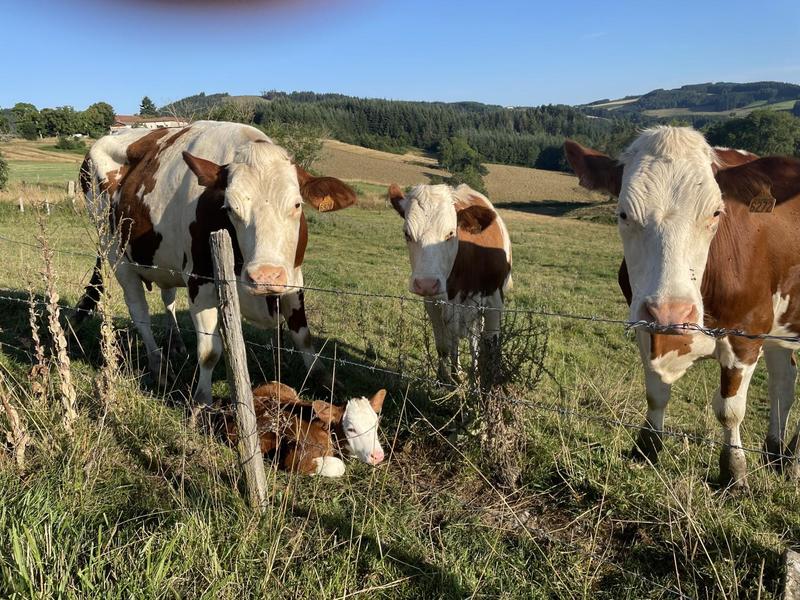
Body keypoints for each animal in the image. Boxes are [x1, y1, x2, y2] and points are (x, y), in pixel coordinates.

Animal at [76, 119, 356, 406]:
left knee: (168, 297)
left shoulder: (294, 279)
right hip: (115, 254)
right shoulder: (200, 281)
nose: (265, 276)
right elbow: (209, 351)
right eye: (230, 208)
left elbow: (303, 337)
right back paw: (159, 367)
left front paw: (326, 381)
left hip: (164, 260)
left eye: (297, 205)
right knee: (140, 312)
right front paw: (202, 401)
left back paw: (175, 343)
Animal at [388, 180, 512, 382]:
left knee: (474, 341)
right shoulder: (433, 302)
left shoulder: (494, 301)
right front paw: (444, 377)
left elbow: (491, 348)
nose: (426, 283)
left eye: (451, 233)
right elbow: (443, 346)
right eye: (407, 234)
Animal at [564, 125, 800, 488]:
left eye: (716, 213)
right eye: (623, 213)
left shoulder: (748, 333)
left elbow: (730, 410)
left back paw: (791, 462)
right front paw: (646, 449)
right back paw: (776, 454)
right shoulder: (646, 325)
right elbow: (656, 393)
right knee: (783, 382)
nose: (671, 313)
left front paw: (734, 472)